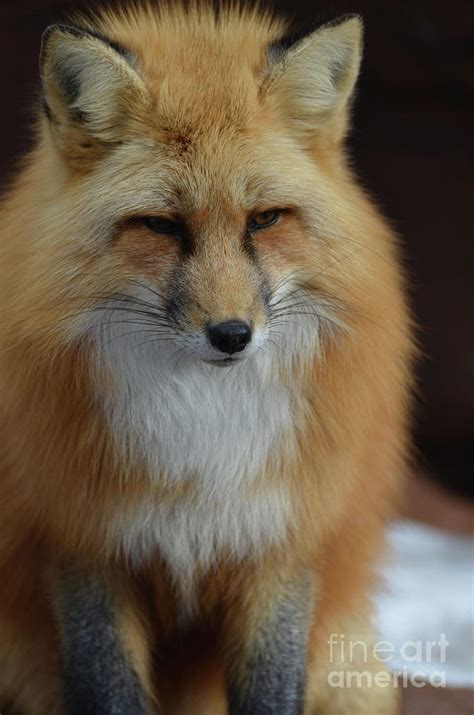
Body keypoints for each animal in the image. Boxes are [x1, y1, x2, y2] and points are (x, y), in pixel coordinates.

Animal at [0, 2, 414, 712]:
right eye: (161, 226)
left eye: (265, 219)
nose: (231, 334)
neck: (203, 436)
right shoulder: (82, 537)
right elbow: (107, 686)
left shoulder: (281, 537)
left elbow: (270, 687)